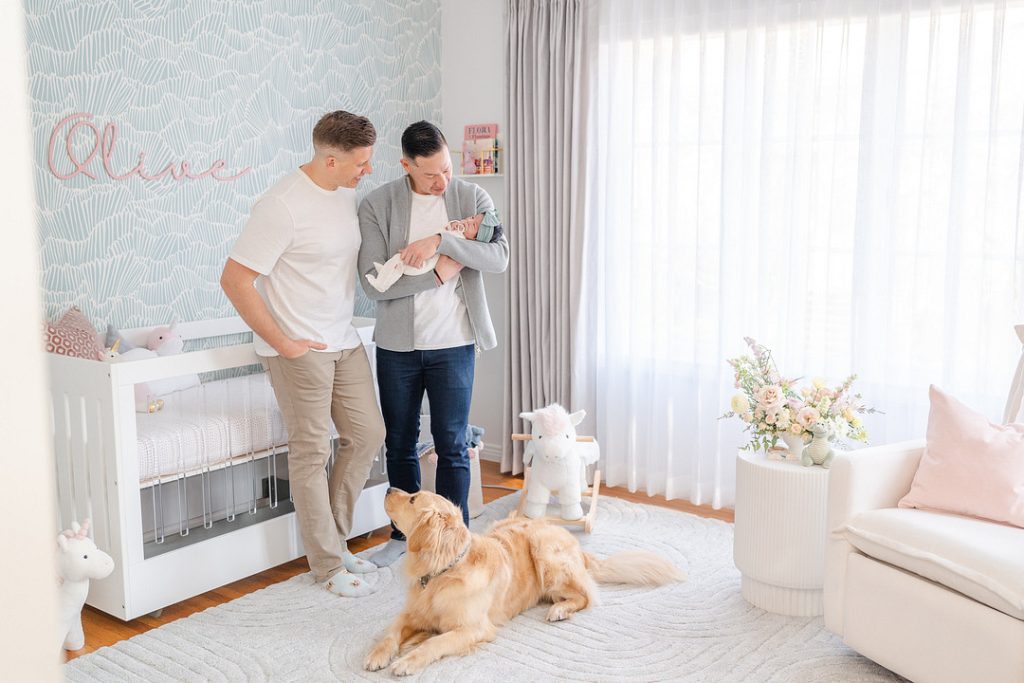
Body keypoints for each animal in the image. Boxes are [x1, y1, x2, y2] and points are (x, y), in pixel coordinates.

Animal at [364, 489, 684, 675]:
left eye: (413, 498)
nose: (389, 488)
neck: (441, 572)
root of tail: (573, 542)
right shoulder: (411, 613)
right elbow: (391, 632)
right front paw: (378, 654)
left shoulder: (473, 628)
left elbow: (434, 642)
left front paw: (407, 660)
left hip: (545, 549)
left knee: (585, 596)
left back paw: (559, 610)